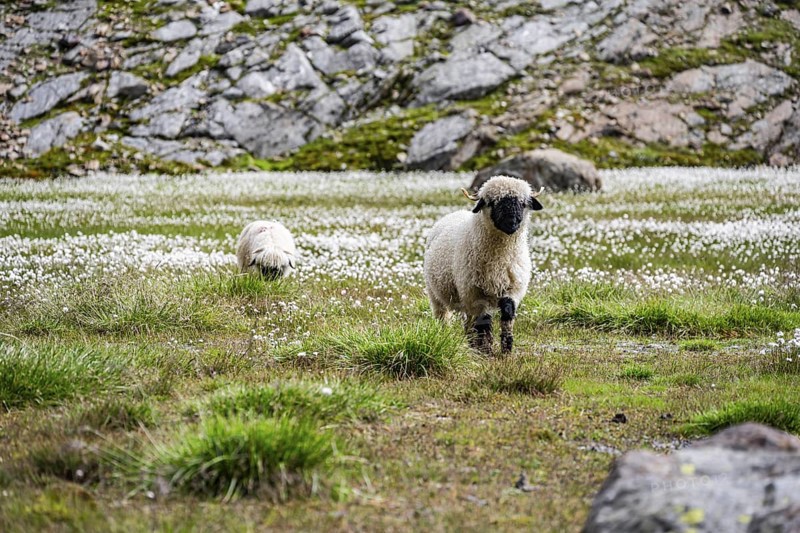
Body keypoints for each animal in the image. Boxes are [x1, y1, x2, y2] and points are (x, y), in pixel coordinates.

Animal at [423, 176, 544, 354]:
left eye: (523, 203)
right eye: (492, 202)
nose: (511, 223)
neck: (499, 260)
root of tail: (455, 213)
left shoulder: (513, 288)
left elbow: (507, 313)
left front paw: (506, 347)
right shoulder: (476, 293)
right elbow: (484, 320)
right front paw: (486, 349)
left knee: (468, 321)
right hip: (437, 294)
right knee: (443, 316)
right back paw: (447, 335)